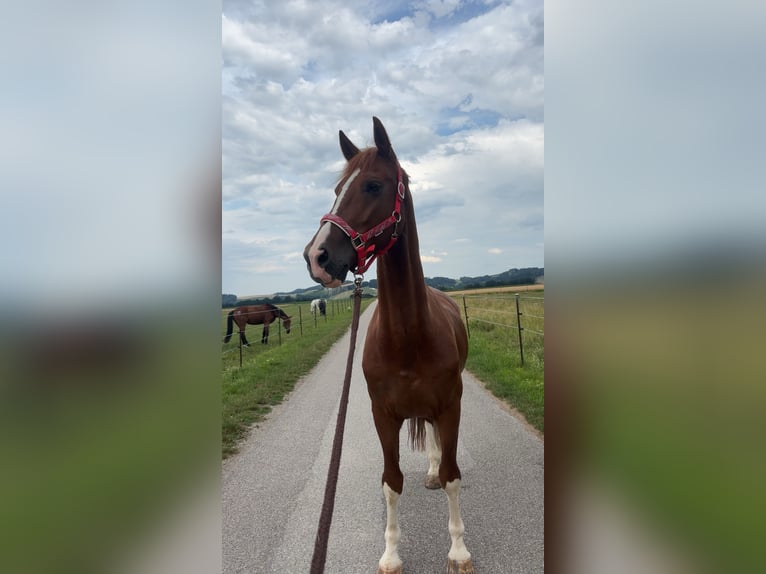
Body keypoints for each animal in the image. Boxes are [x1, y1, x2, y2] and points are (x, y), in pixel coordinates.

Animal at [303, 117, 473, 574]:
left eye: (373, 185)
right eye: (337, 188)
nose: (316, 257)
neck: (407, 336)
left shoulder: (450, 404)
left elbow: (452, 475)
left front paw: (458, 550)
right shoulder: (383, 414)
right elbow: (391, 482)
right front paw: (392, 555)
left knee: (434, 440)